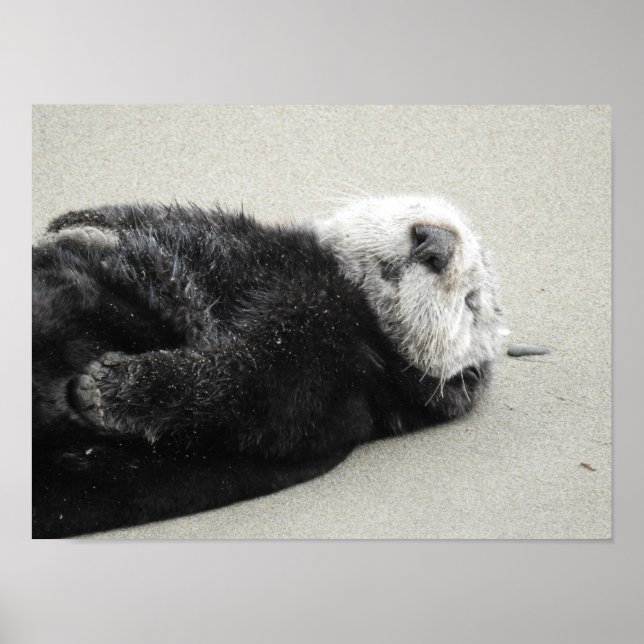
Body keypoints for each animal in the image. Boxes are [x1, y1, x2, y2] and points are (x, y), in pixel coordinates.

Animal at [32, 195, 503, 538]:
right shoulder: (228, 234)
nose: (435, 243)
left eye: (471, 302)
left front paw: (110, 386)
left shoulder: (326, 370)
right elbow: (140, 223)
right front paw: (86, 229)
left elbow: (241, 387)